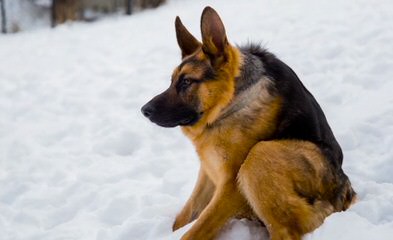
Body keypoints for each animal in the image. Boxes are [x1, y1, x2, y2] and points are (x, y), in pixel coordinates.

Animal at [141, 6, 356, 239]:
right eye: (172, 81)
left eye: (187, 82)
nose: (144, 111)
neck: (230, 102)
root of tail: (346, 193)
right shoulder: (208, 171)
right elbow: (183, 218)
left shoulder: (231, 187)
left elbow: (195, 230)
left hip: (260, 155)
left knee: (287, 228)